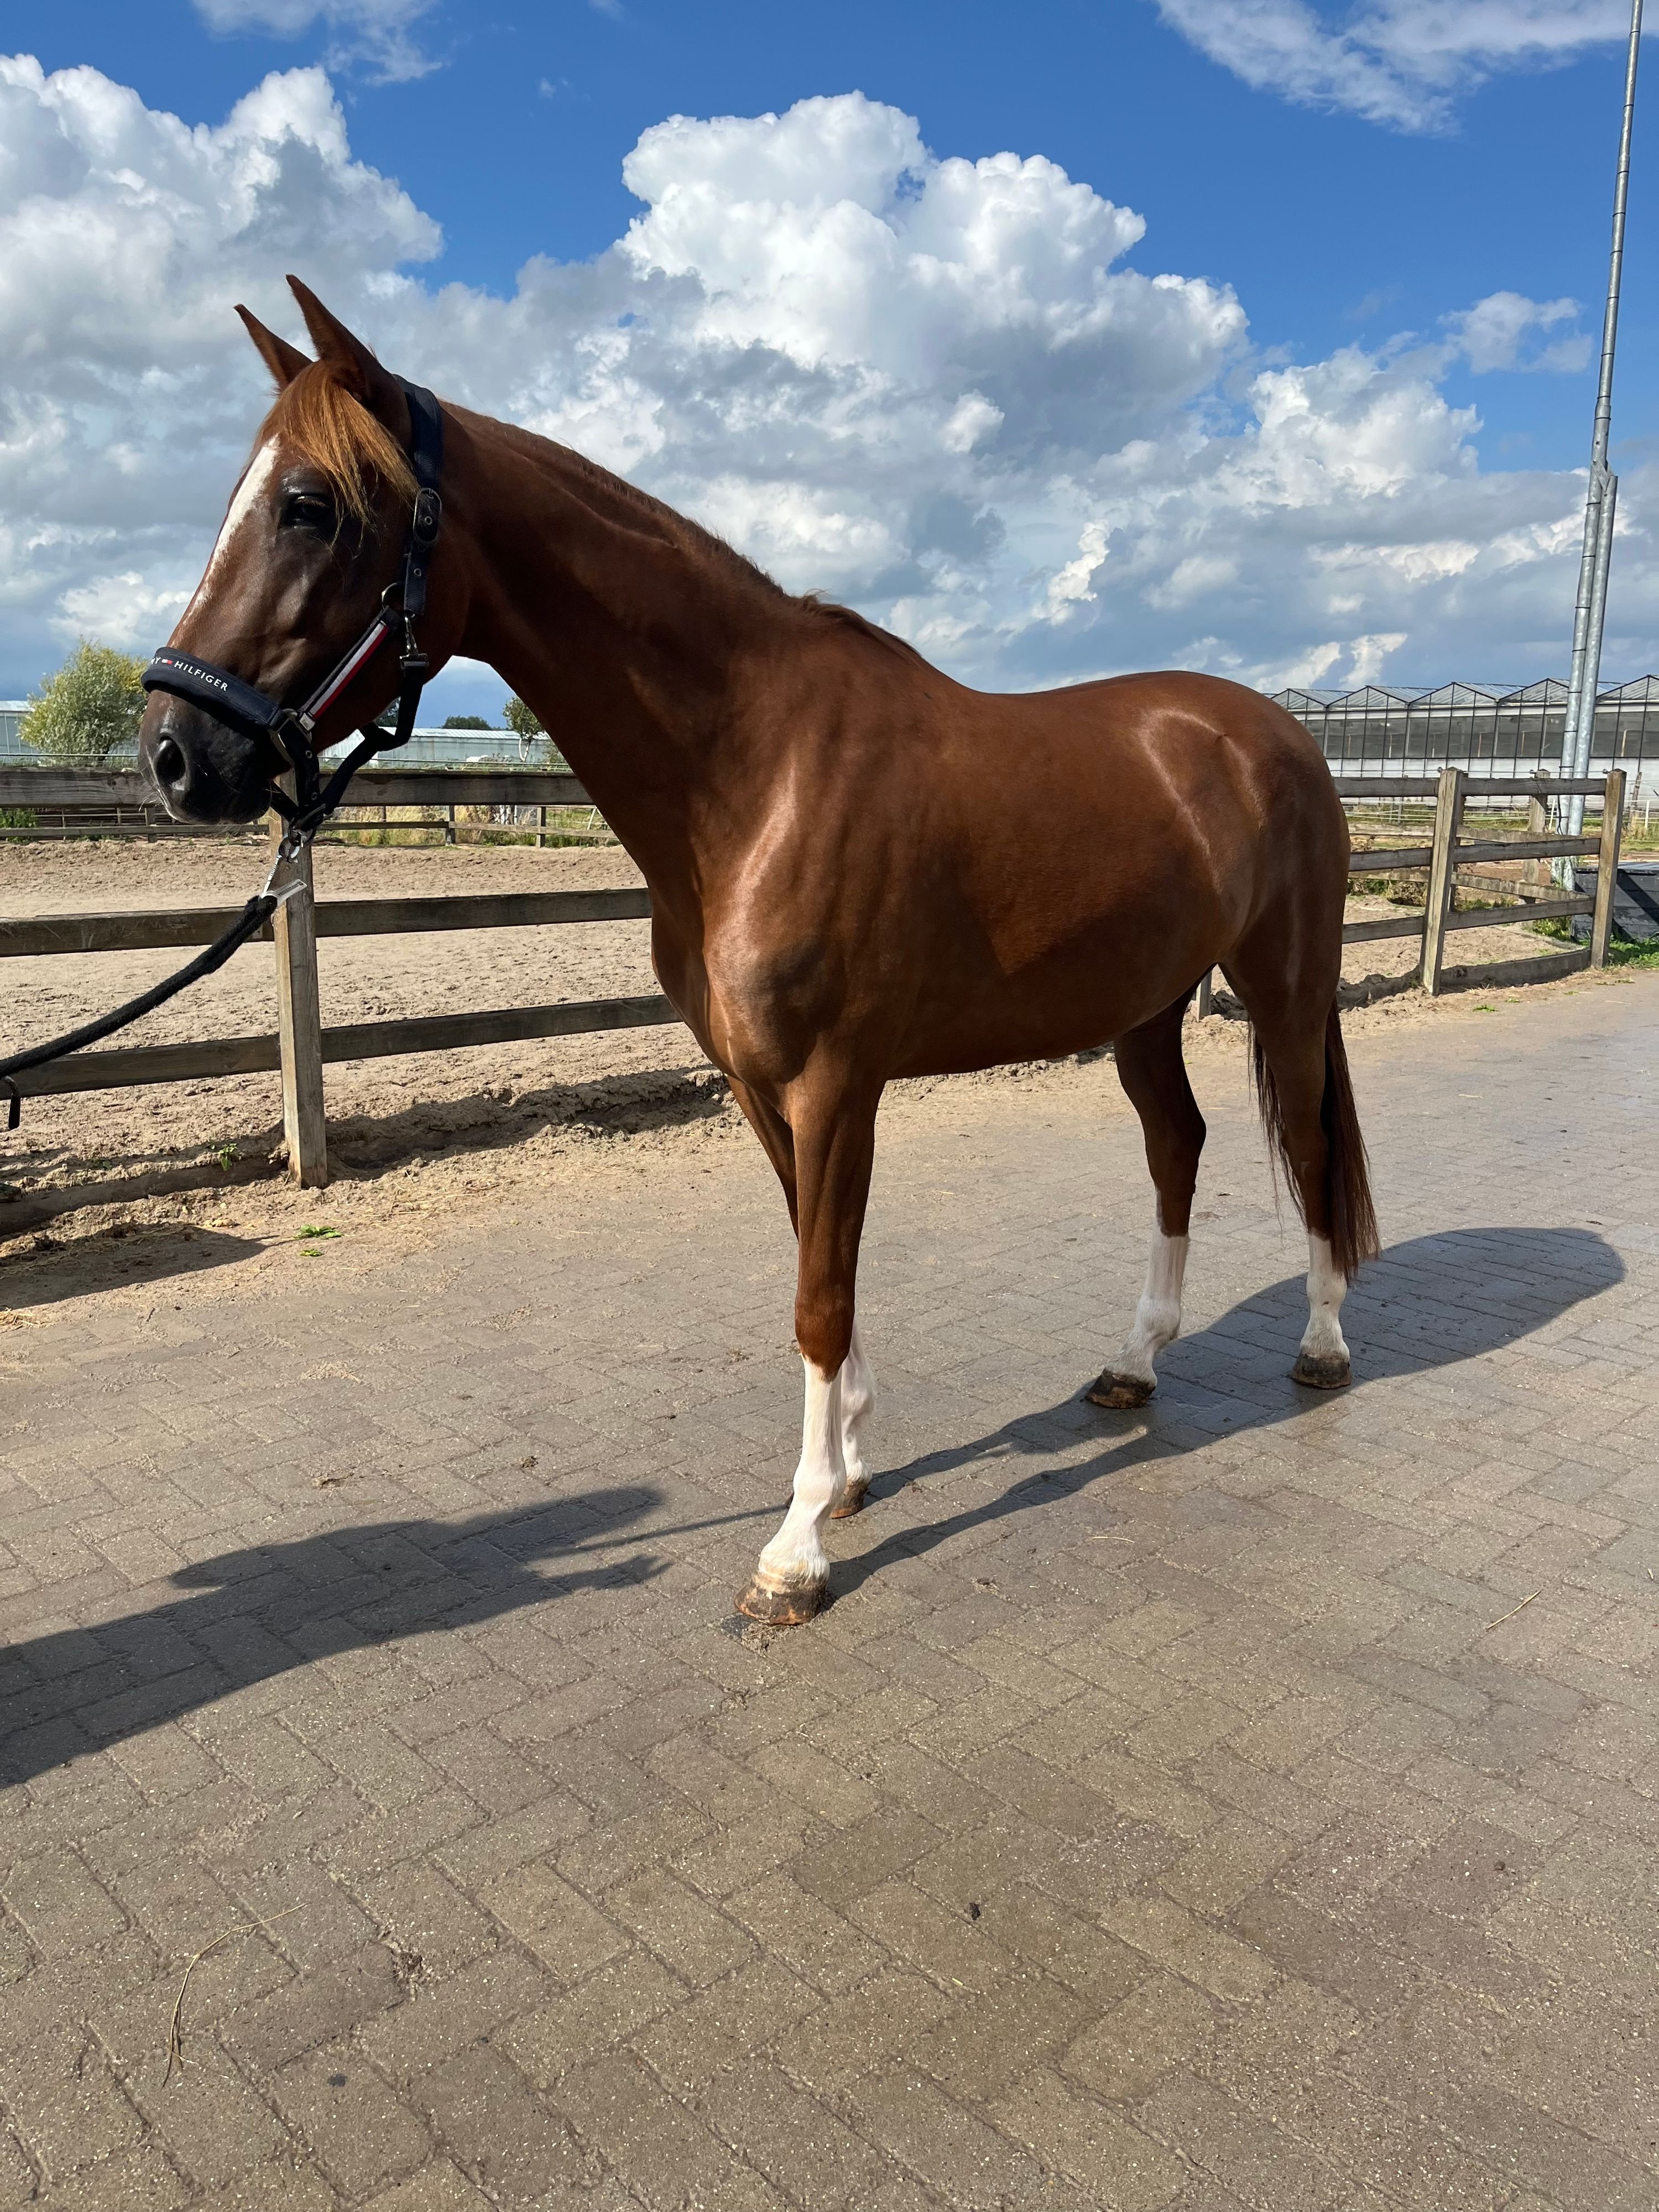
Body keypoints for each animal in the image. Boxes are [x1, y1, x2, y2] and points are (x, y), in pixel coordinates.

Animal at [140, 278, 1379, 1627]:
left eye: (310, 506)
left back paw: (1322, 1345)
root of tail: (1275, 734)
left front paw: (796, 1548)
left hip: (1286, 986)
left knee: (1309, 1140)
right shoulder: (758, 1085)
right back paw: (1133, 1363)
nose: (174, 755)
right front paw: (849, 1470)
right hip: (1145, 1007)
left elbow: (819, 1297)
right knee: (1176, 1147)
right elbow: (816, 1265)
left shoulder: (838, 1085)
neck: (757, 774)